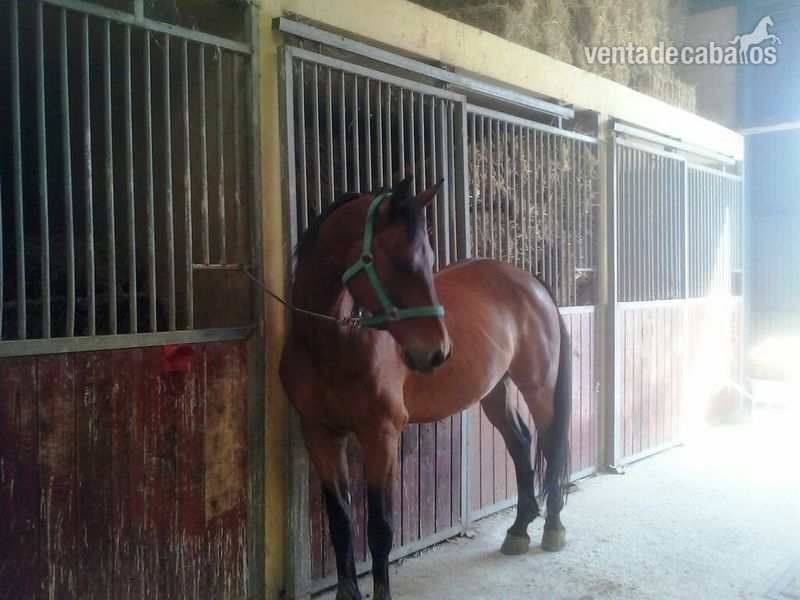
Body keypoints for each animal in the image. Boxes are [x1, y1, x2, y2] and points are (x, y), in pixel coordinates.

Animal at [279, 176, 572, 600]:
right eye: (401, 262)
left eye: (430, 261)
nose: (438, 353)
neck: (333, 344)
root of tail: (530, 281)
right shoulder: (319, 434)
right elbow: (340, 522)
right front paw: (348, 592)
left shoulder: (381, 435)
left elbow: (380, 529)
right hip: (495, 392)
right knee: (520, 442)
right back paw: (519, 529)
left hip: (539, 387)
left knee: (550, 445)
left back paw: (552, 528)